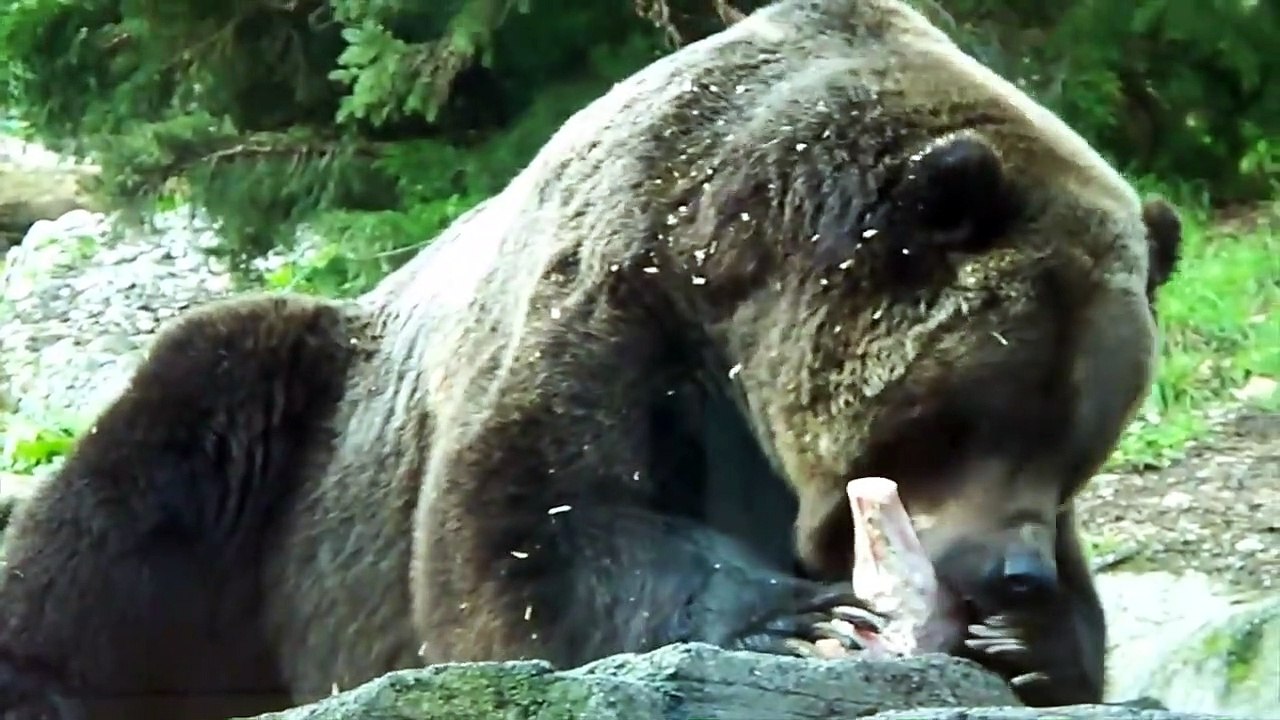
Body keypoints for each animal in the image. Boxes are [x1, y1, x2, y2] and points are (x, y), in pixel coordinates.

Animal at [0, 0, 1183, 718]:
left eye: (1081, 445)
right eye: (968, 413)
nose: (1011, 574)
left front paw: (1033, 640)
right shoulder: (614, 300)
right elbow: (524, 535)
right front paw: (790, 615)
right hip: (301, 438)